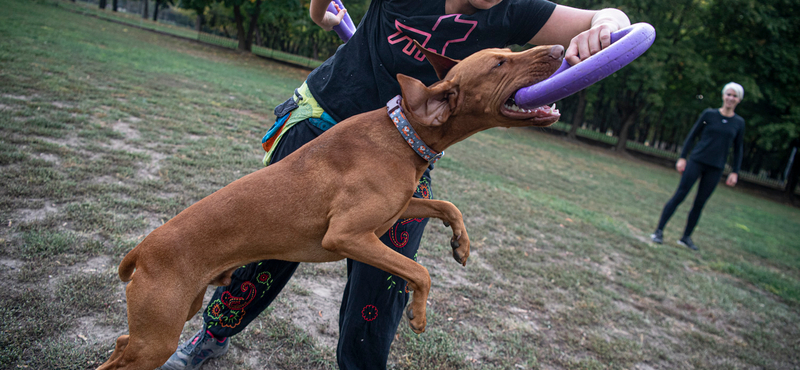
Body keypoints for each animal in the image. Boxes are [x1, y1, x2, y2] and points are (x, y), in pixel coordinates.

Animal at [97, 44, 564, 370]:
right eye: (498, 64)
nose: (561, 50)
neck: (404, 133)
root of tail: (141, 250)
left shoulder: (398, 210)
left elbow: (448, 206)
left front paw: (461, 246)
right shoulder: (347, 236)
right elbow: (420, 271)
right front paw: (417, 314)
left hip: (173, 318)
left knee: (120, 344)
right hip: (158, 337)